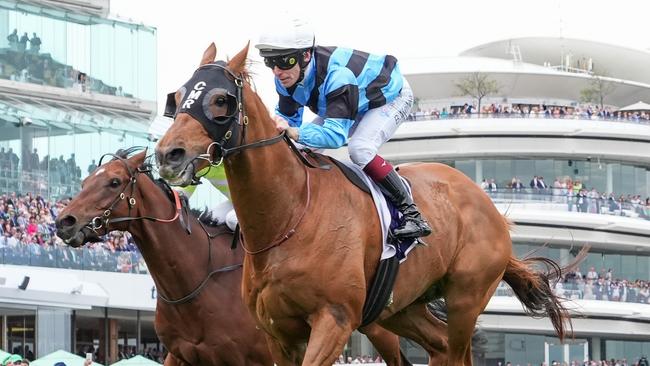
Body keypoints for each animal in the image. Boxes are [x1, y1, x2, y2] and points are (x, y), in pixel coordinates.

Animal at [53, 150, 408, 366]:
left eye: (113, 182)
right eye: (85, 181)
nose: (64, 222)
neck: (197, 281)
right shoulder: (179, 353)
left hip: (373, 328)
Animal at [153, 43, 584, 366]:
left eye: (220, 99)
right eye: (178, 97)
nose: (168, 154)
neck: (288, 217)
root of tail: (488, 205)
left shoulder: (335, 320)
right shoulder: (277, 333)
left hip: (466, 298)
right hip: (401, 307)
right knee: (439, 345)